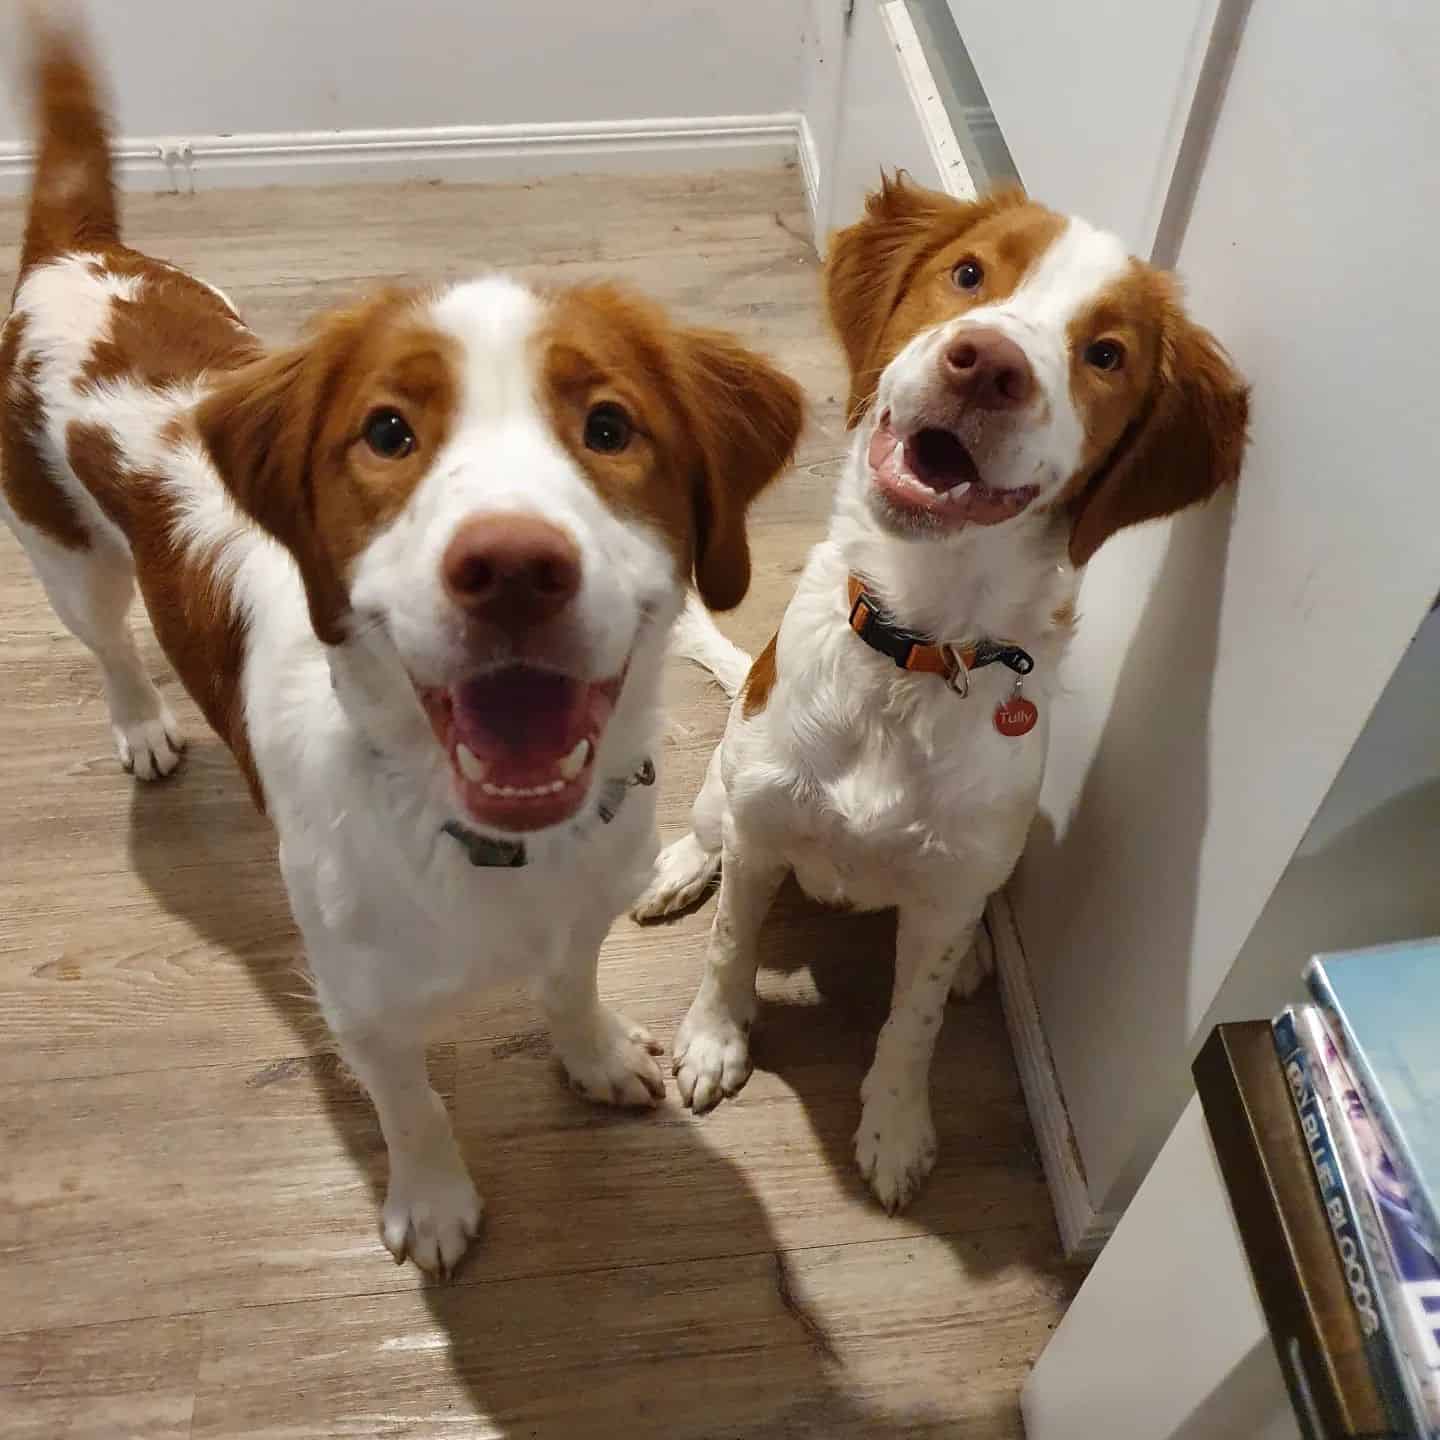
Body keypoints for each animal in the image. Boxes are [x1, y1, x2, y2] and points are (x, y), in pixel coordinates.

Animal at [0, 11, 800, 1272]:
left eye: (609, 426)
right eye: (386, 432)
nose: (512, 565)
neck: (487, 842)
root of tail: (76, 256)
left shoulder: (584, 909)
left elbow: (570, 991)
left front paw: (595, 1055)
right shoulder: (358, 998)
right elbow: (410, 1103)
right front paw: (432, 1203)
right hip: (62, 554)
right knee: (111, 646)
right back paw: (141, 725)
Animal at [633, 177, 1249, 1215]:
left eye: (1106, 354)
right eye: (968, 274)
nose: (987, 365)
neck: (914, 652)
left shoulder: (951, 888)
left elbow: (911, 1022)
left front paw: (895, 1126)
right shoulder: (764, 825)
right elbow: (730, 944)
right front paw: (715, 1040)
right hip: (729, 784)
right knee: (710, 830)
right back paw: (678, 865)